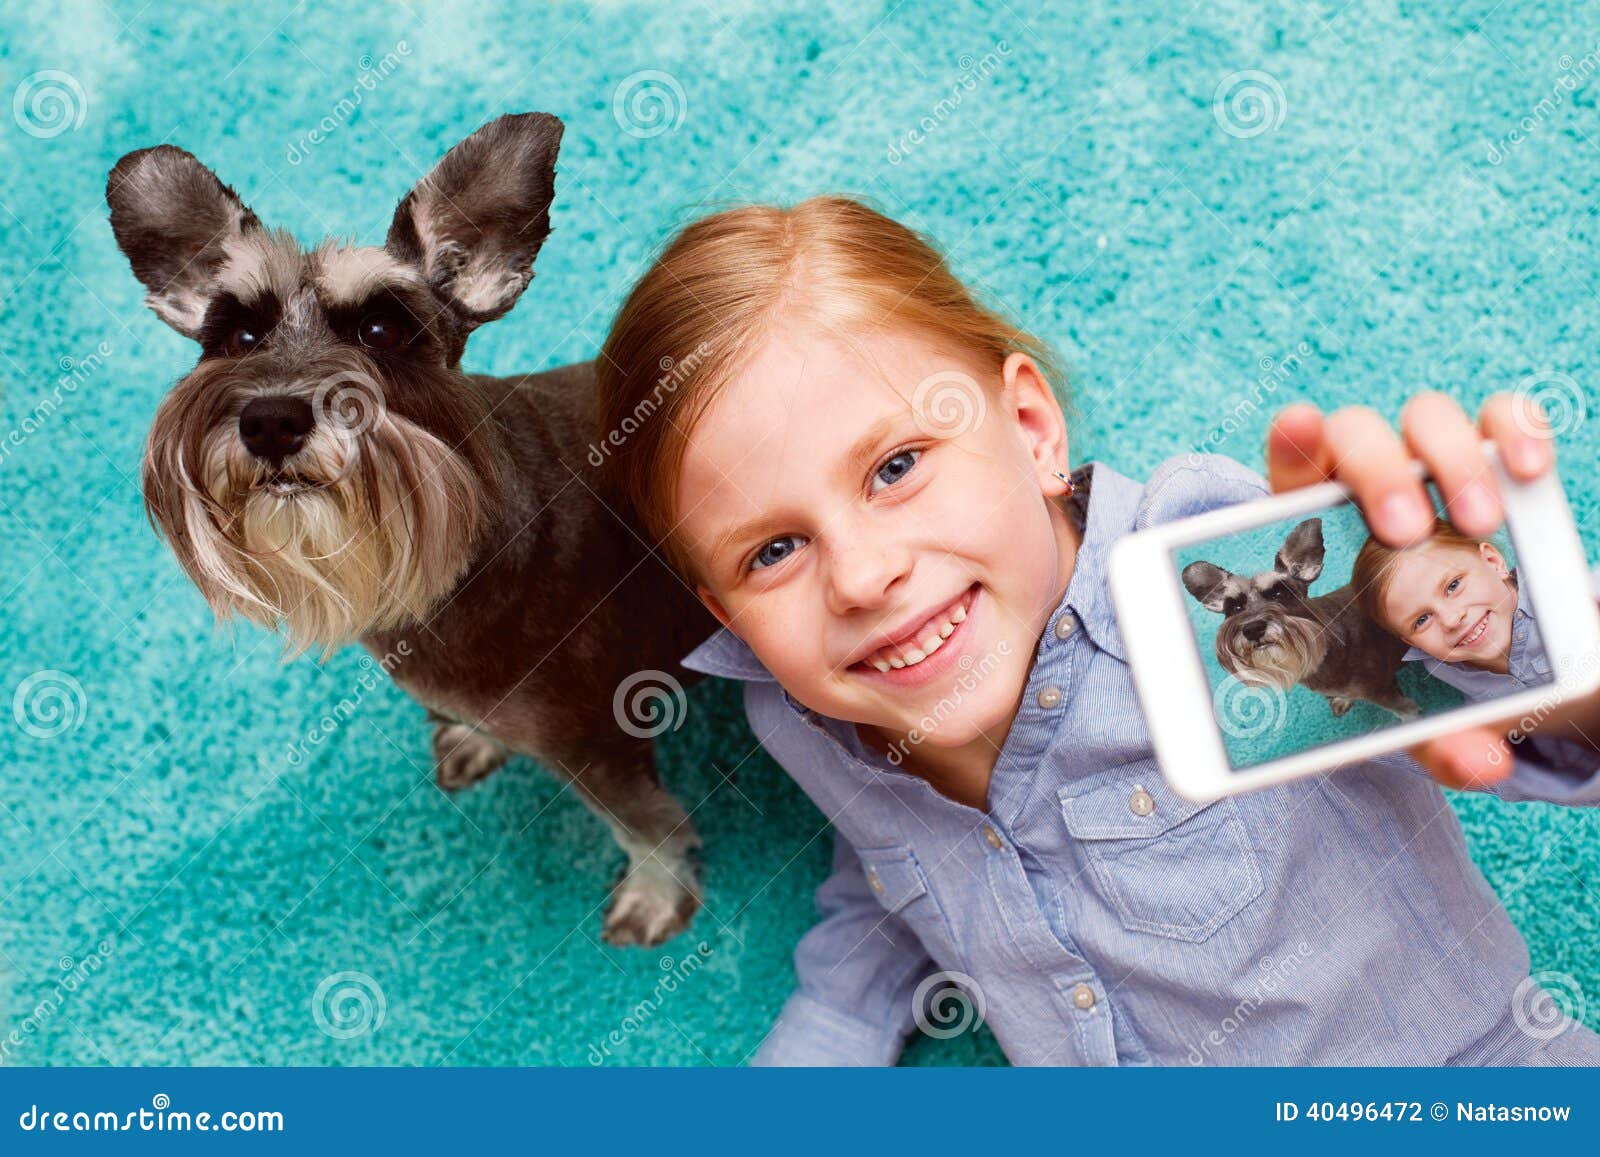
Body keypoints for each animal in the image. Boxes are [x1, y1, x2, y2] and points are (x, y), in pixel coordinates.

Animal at [103, 108, 716, 947]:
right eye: (238, 337)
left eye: (381, 329)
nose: (271, 419)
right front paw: (476, 738)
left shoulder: (596, 738)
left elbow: (645, 824)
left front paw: (656, 894)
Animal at [1184, 521, 1420, 720]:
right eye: (1235, 607)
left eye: (1279, 593)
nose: (1253, 628)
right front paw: (1343, 700)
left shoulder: (1384, 694)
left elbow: (1407, 712)